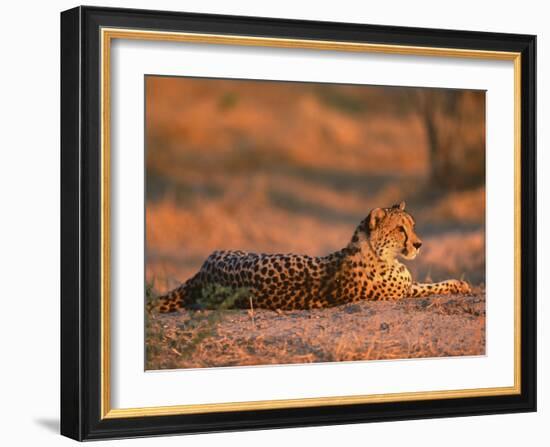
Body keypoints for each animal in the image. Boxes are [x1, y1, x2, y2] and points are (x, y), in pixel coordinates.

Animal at [149, 201, 472, 314]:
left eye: (413, 225)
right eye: (400, 229)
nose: (419, 244)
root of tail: (204, 270)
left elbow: (431, 283)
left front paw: (461, 283)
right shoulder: (402, 292)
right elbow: (433, 286)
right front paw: (461, 285)